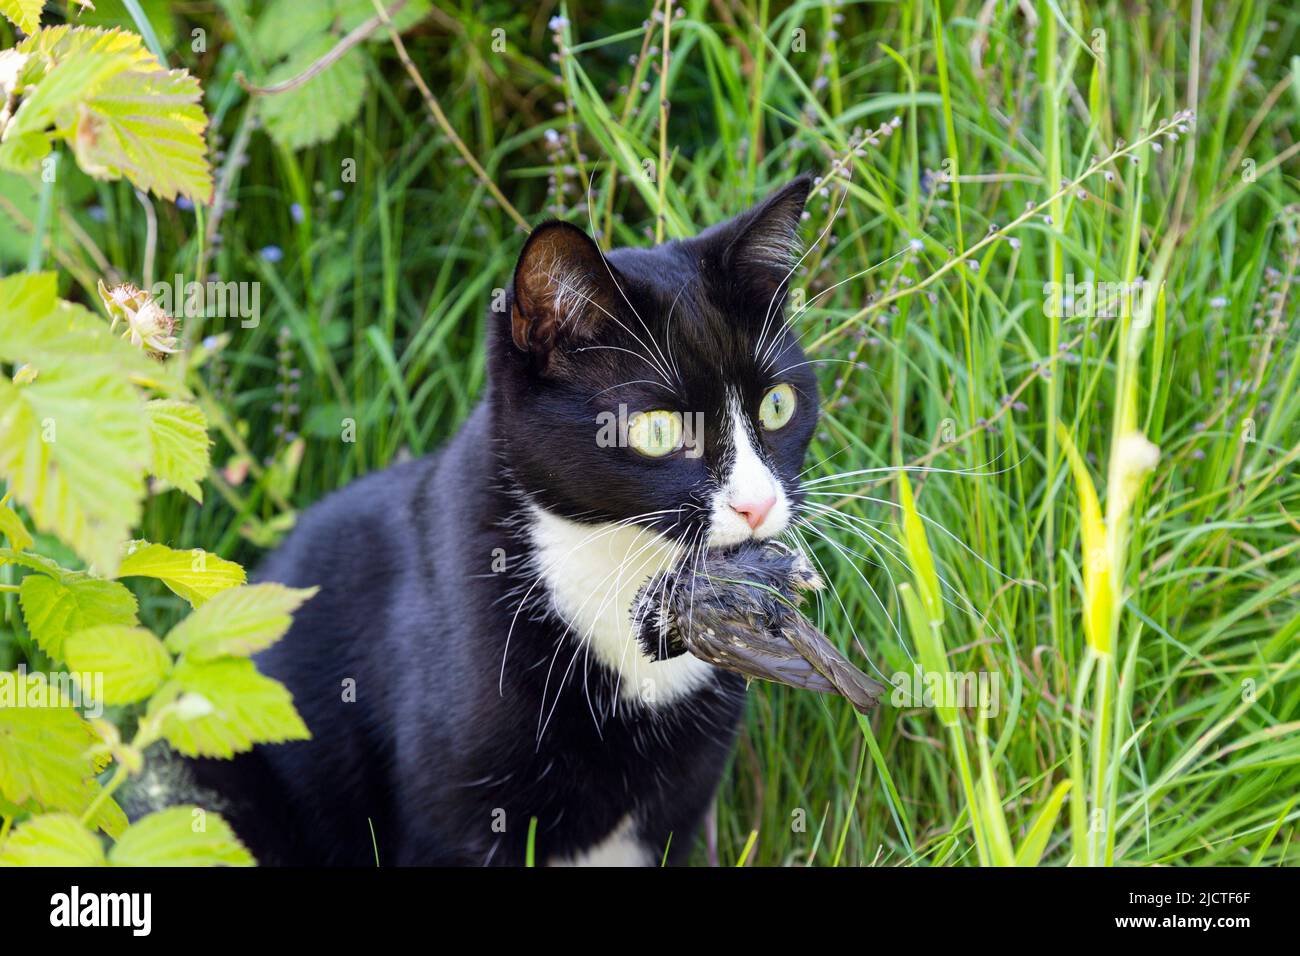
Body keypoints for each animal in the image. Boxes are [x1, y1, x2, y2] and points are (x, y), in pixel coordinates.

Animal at [188, 174, 816, 868]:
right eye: (657, 430)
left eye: (778, 404)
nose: (757, 504)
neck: (621, 568)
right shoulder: (456, 815)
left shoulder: (681, 802)